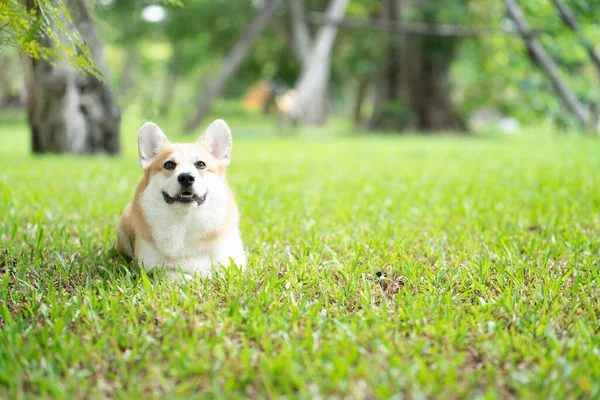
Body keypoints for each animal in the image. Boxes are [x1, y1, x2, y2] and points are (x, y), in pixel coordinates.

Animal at [117, 120, 246, 280]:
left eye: (201, 164)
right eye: (169, 165)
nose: (186, 177)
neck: (185, 220)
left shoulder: (233, 263)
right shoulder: (153, 268)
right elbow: (178, 276)